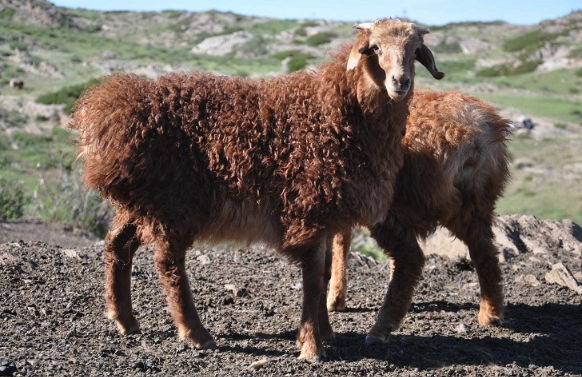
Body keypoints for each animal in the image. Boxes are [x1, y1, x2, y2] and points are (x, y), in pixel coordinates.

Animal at [72, 19, 448, 360]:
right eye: (375, 48)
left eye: (415, 51)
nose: (400, 82)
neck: (337, 112)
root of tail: (114, 111)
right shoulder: (308, 206)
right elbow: (313, 278)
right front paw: (311, 346)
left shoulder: (326, 212)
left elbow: (325, 271)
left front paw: (325, 331)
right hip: (175, 203)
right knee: (168, 263)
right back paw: (196, 334)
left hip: (145, 203)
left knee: (117, 242)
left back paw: (125, 320)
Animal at [326, 89, 512, 344]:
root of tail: (471, 135)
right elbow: (341, 241)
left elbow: (338, 243)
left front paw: (334, 299)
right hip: (475, 206)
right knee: (485, 253)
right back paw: (490, 314)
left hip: (394, 202)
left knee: (411, 257)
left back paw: (381, 329)